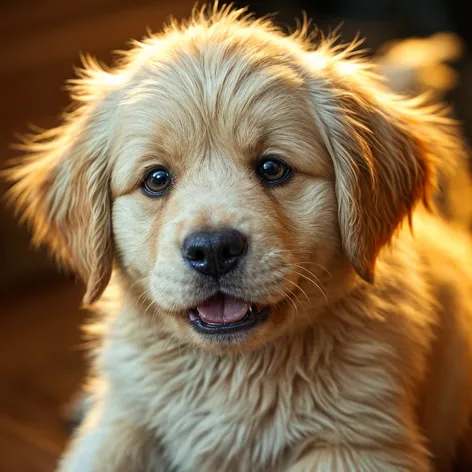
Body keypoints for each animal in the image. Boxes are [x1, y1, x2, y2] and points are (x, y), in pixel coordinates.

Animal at [6, 4, 472, 472]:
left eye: (273, 168)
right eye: (156, 179)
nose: (213, 250)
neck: (232, 370)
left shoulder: (358, 442)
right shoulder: (122, 424)